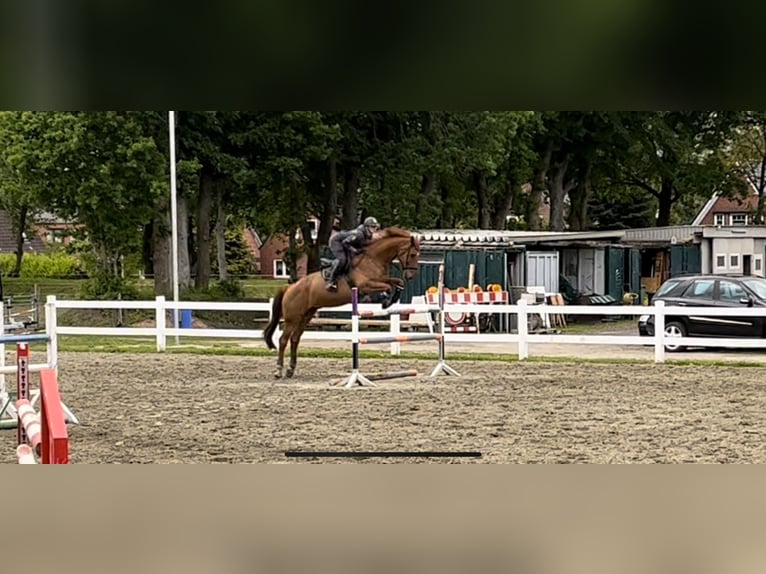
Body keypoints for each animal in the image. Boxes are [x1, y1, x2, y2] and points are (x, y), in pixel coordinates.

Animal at [262, 227, 420, 380]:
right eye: (412, 255)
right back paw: (278, 371)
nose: (411, 276)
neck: (374, 259)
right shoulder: (365, 285)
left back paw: (290, 369)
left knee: (295, 339)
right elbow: (386, 287)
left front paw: (391, 298)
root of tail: (289, 287)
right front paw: (386, 301)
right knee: (283, 340)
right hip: (292, 318)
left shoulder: (381, 279)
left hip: (305, 316)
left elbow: (397, 282)